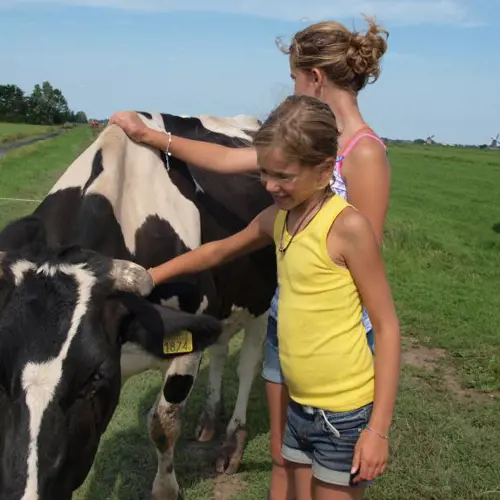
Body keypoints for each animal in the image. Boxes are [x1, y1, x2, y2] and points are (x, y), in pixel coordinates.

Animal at [0, 113, 276, 500]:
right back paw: (209, 420)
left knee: (248, 364)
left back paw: (231, 443)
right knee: (221, 350)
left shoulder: (187, 341)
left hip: (261, 301)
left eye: (95, 379)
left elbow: (163, 423)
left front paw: (165, 489)